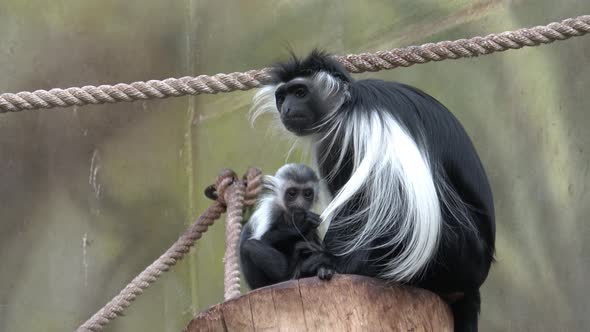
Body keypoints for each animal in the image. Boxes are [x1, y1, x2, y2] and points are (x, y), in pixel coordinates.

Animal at [252, 50, 498, 332]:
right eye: (282, 97)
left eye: (300, 92)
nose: (287, 108)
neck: (345, 107)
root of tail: (476, 277)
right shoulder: (330, 143)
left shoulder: (364, 127)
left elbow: (382, 201)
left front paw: (329, 261)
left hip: (454, 249)